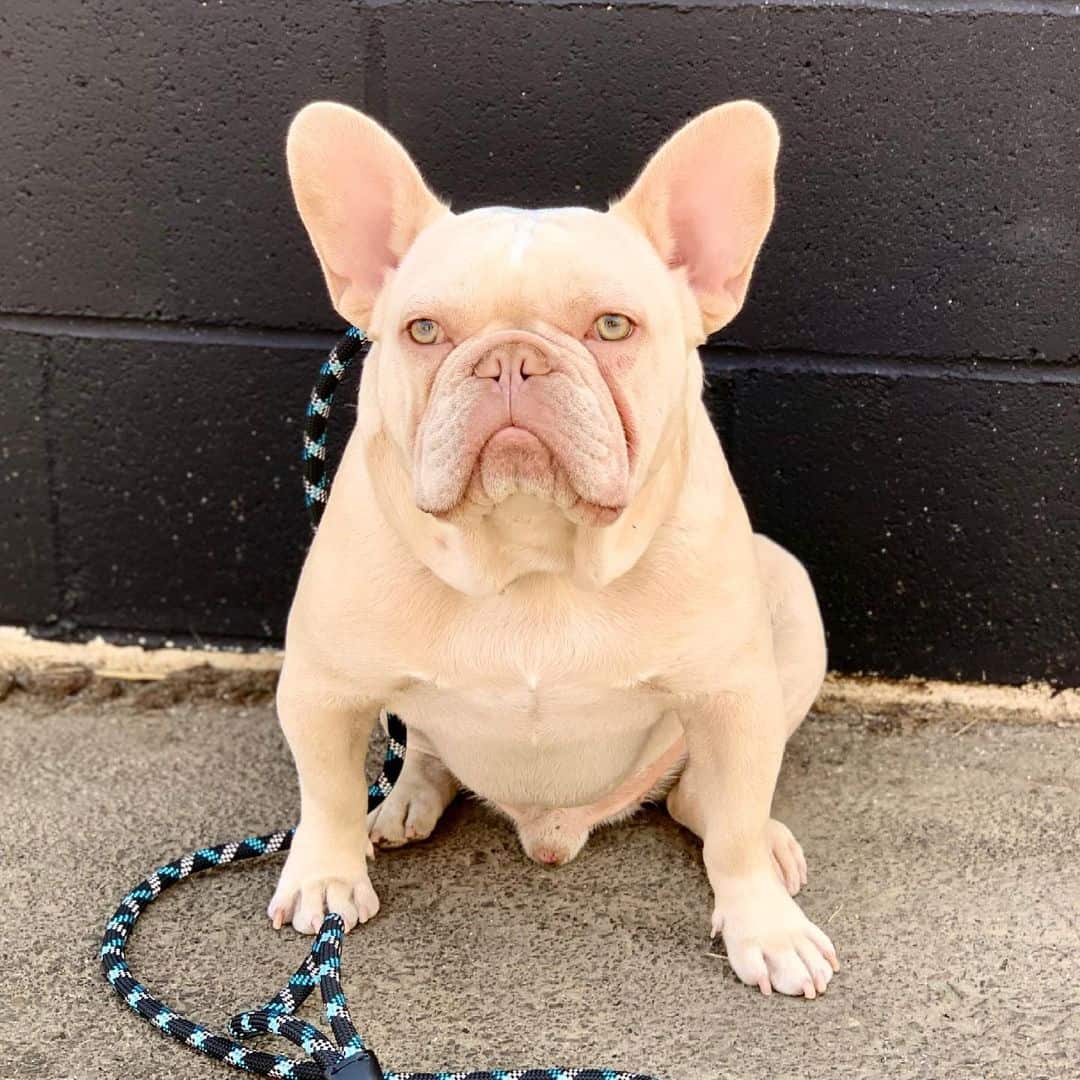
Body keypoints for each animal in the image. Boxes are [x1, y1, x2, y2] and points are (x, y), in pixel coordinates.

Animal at [267, 99, 833, 993]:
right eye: (423, 330)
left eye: (612, 326)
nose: (509, 358)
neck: (533, 553)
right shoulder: (322, 688)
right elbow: (323, 790)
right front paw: (326, 876)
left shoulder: (733, 696)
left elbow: (738, 830)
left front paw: (766, 926)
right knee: (419, 750)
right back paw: (401, 802)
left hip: (788, 600)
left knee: (708, 800)